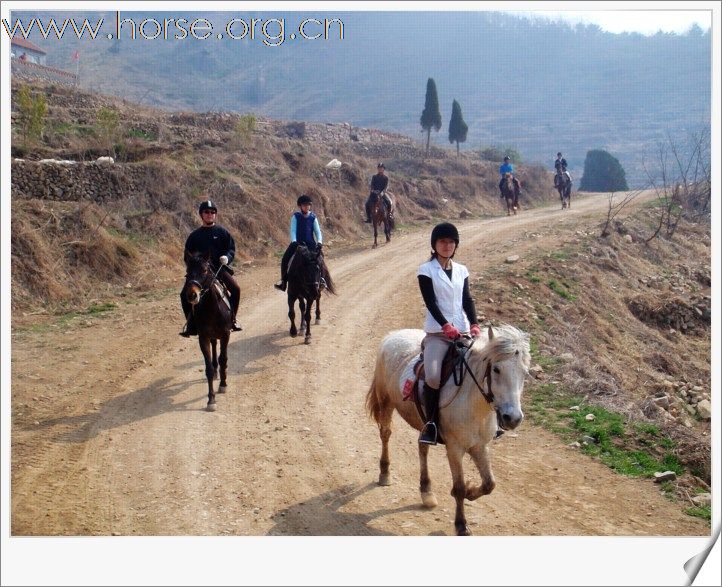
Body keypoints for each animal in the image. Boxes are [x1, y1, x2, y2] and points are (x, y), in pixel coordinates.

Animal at [181, 254, 232, 414]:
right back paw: (216, 372)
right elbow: (208, 368)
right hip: (212, 336)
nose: (192, 295)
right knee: (214, 346)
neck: (211, 309)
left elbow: (223, 359)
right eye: (187, 272)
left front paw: (223, 384)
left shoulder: (225, 334)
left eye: (204, 270)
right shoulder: (203, 337)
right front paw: (211, 400)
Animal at [366, 326, 528, 536]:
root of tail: (393, 335)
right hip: (386, 401)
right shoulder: (454, 448)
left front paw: (470, 492)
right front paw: (461, 525)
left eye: (524, 373)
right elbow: (458, 487)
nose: (513, 418)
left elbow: (489, 484)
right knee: (385, 434)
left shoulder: (480, 446)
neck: (472, 403)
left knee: (422, 447)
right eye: (496, 369)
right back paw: (385, 473)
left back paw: (426, 491)